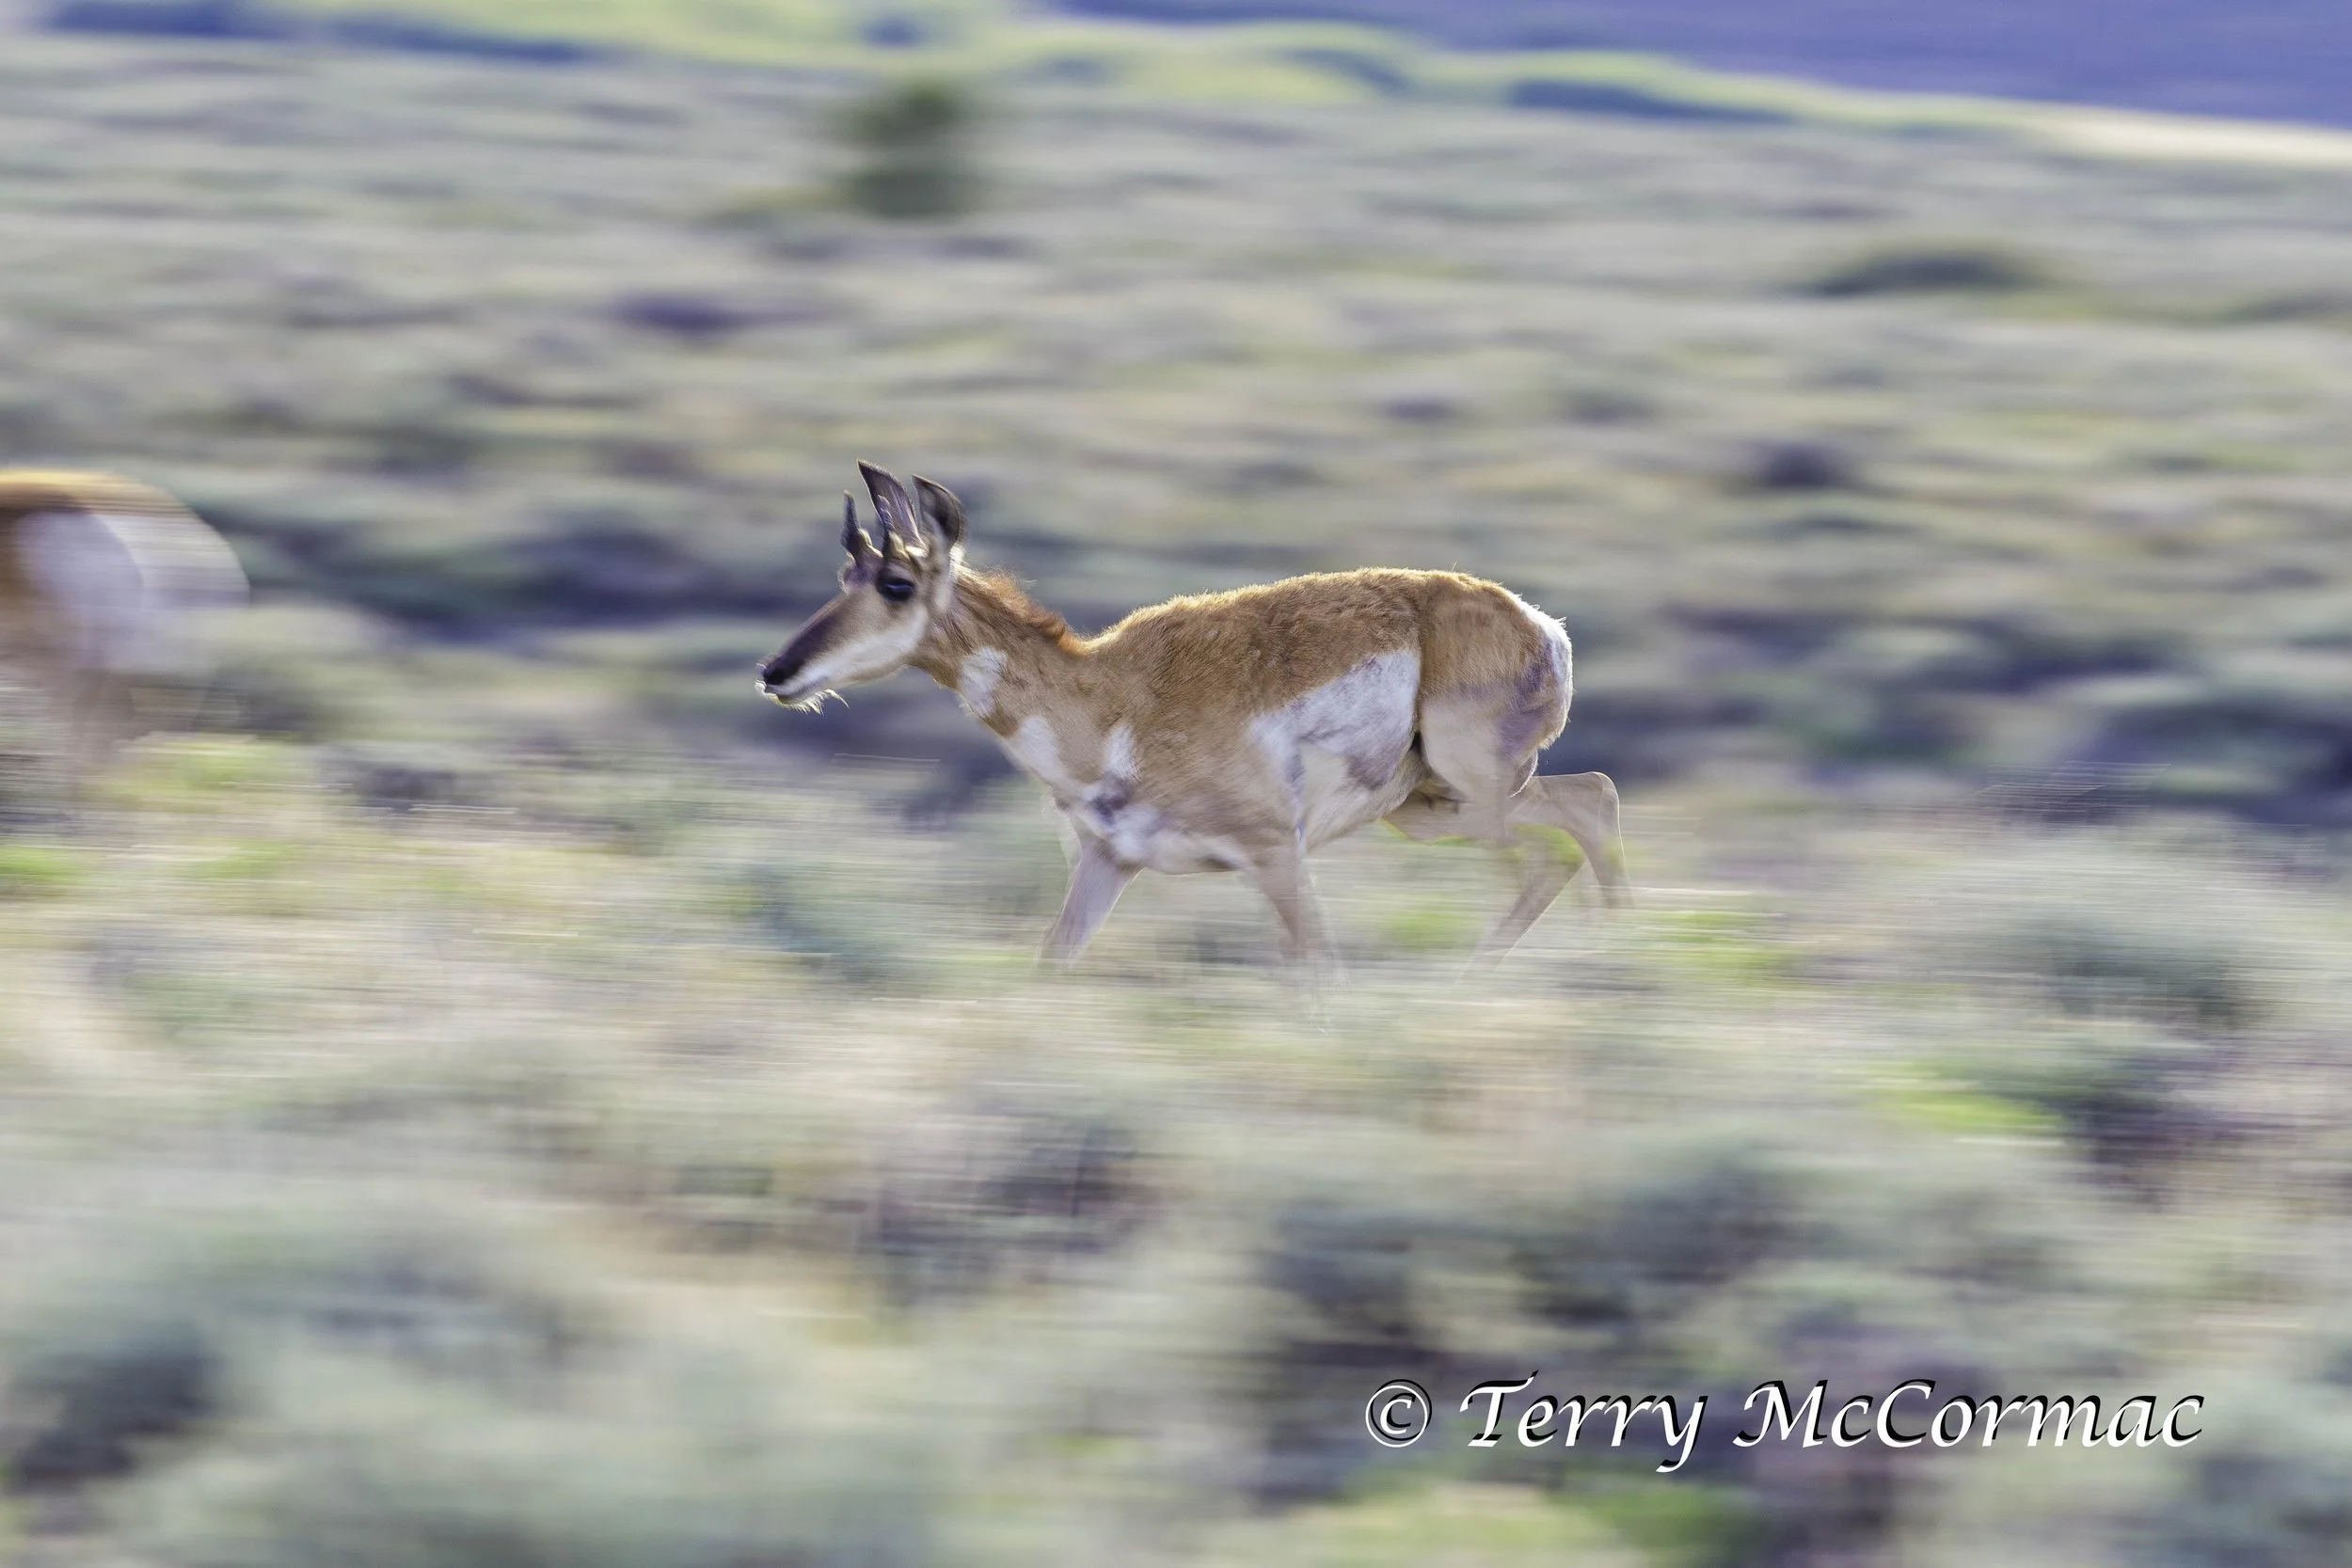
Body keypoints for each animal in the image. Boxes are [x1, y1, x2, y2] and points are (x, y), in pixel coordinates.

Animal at [759, 463, 1627, 968]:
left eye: (896, 584)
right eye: (844, 574)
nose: (777, 671)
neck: (1109, 699)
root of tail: (1536, 622)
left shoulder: (1277, 857)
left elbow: (1318, 975)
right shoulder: (1107, 865)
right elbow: (1050, 964)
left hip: (1469, 791)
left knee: (1565, 832)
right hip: (1427, 808)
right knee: (1588, 801)